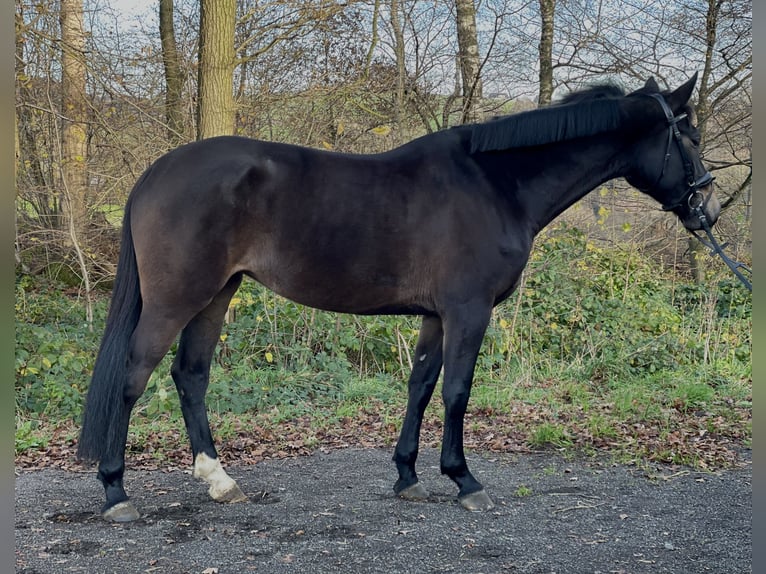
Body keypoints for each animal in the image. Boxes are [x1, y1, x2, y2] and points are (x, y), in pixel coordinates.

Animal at [76, 73, 720, 520]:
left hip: (217, 294)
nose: (707, 210)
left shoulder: (436, 316)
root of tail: (157, 172)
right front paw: (464, 480)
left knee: (191, 374)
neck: (494, 184)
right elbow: (457, 393)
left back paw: (218, 480)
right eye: (689, 136)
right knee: (133, 377)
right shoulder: (468, 311)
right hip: (176, 299)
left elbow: (422, 386)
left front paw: (408, 475)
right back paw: (115, 491)